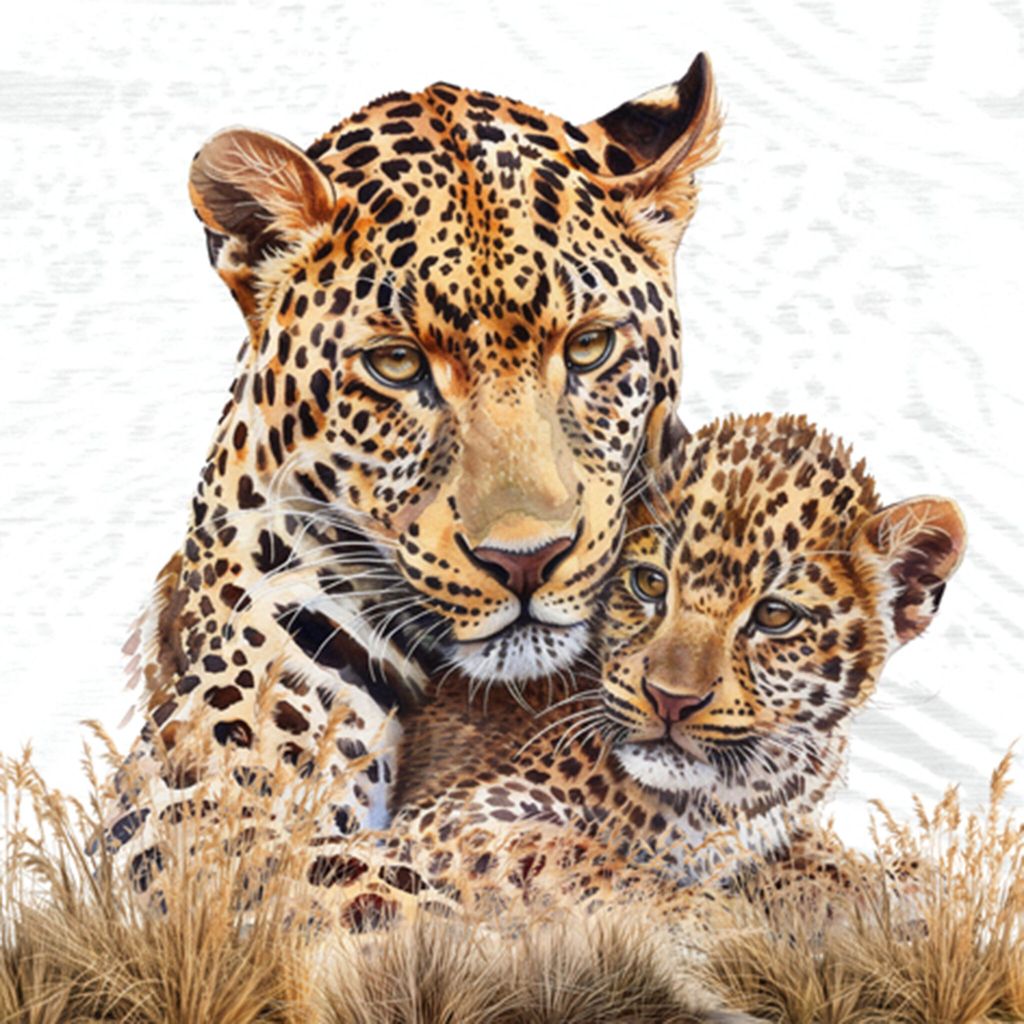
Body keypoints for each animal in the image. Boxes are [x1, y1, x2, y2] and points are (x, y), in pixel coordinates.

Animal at [294, 413, 965, 927]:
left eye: (775, 616)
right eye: (649, 584)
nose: (669, 699)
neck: (735, 793)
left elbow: (825, 868)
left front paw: (894, 888)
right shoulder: (458, 816)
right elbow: (585, 861)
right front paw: (719, 925)